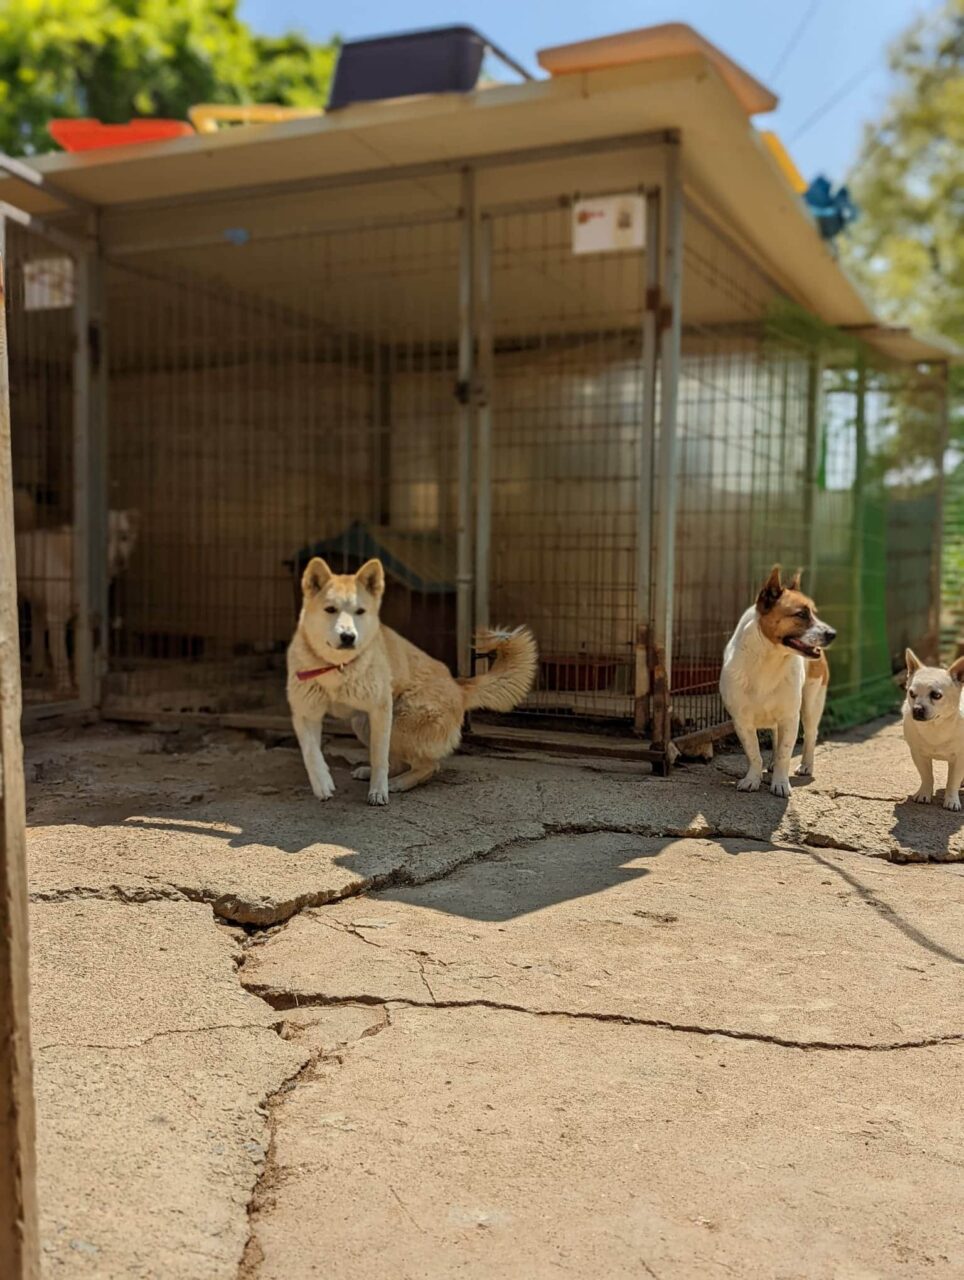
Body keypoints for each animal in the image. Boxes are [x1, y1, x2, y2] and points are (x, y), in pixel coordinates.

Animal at [722, 565, 834, 793]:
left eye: (814, 613)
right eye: (801, 614)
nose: (832, 634)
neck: (768, 660)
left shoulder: (790, 718)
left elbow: (785, 753)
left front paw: (781, 783)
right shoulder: (742, 721)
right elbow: (754, 754)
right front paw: (752, 779)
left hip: (811, 704)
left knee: (811, 734)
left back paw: (806, 765)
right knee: (775, 736)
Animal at [901, 650, 962, 808]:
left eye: (936, 695)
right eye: (911, 693)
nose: (917, 708)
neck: (935, 726)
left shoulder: (960, 758)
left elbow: (953, 780)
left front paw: (951, 800)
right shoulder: (918, 755)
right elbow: (927, 776)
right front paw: (924, 794)